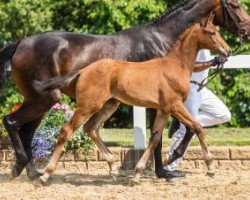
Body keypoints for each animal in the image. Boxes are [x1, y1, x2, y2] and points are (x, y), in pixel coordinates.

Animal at [0, 0, 249, 180]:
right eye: (235, 5)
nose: (247, 30)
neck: (163, 41)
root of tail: (20, 43)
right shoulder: (164, 104)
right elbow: (178, 131)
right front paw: (166, 167)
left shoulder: (163, 104)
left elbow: (164, 134)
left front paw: (160, 168)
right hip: (47, 99)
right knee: (13, 122)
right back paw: (29, 170)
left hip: (45, 101)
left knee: (28, 132)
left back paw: (31, 172)